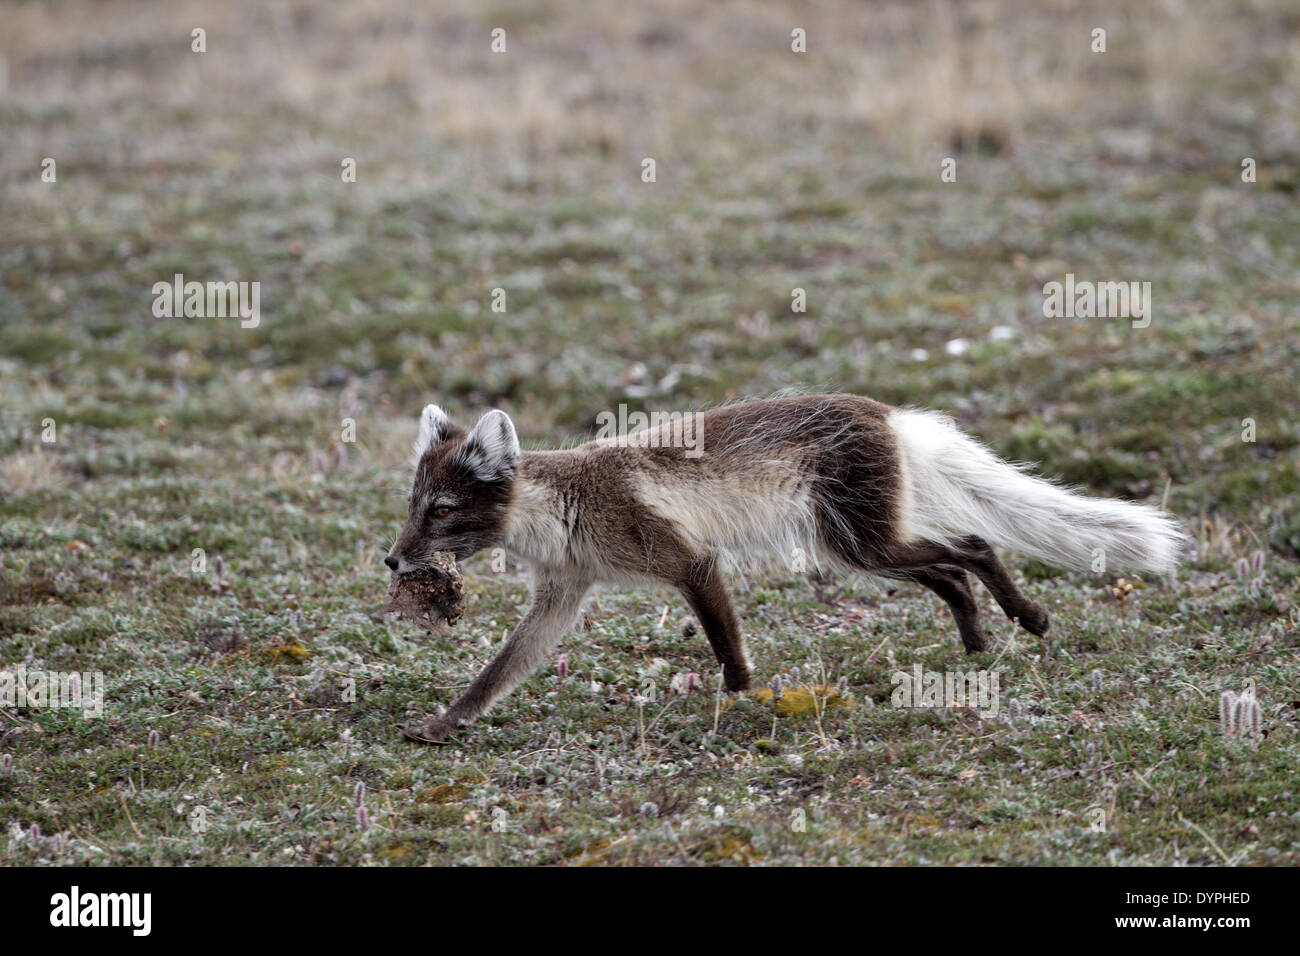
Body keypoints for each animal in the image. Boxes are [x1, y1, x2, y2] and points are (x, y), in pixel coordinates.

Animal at [382, 392, 1180, 743]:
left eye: (441, 511)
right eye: (414, 505)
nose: (392, 557)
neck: (565, 510)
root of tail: (888, 412)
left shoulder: (689, 562)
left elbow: (727, 647)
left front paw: (741, 700)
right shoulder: (561, 596)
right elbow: (499, 670)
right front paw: (446, 722)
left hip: (863, 543)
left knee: (976, 546)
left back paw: (1026, 617)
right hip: (856, 548)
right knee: (954, 570)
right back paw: (979, 642)